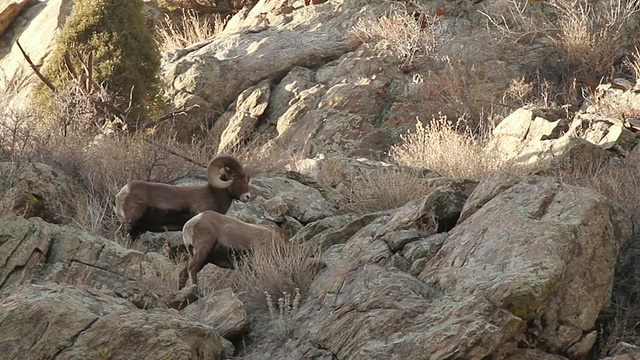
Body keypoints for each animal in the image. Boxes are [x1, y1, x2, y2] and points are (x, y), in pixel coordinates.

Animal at [114, 154, 250, 239]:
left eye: (247, 178)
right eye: (236, 177)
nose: (247, 196)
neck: (213, 196)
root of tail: (123, 192)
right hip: (130, 223)